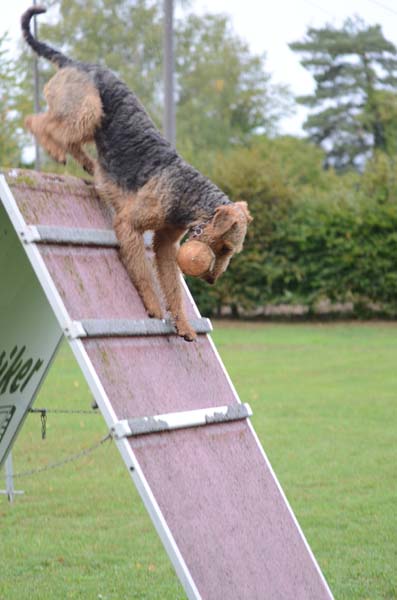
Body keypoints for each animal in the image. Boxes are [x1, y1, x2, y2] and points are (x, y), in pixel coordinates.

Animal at [20, 5, 251, 342]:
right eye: (224, 248)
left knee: (64, 136)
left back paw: (90, 166)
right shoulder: (130, 225)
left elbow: (171, 285)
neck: (188, 195)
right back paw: (56, 152)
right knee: (37, 122)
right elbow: (144, 273)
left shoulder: (165, 245)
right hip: (86, 110)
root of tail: (74, 62)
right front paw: (154, 307)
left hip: (89, 121)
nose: (211, 281)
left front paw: (183, 325)